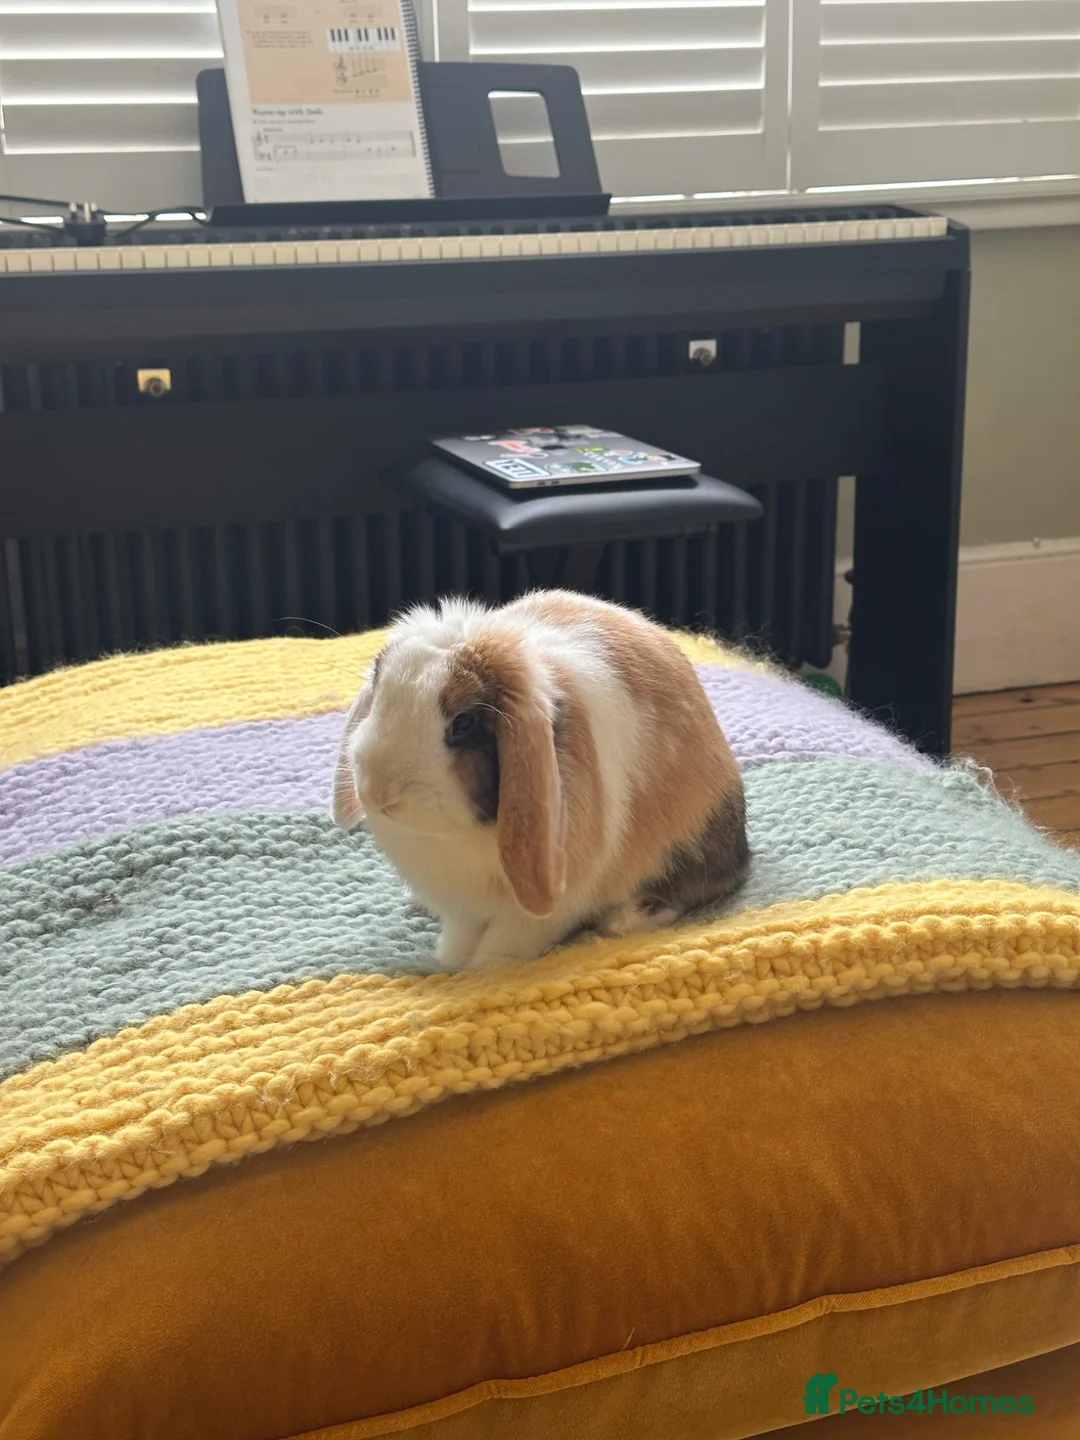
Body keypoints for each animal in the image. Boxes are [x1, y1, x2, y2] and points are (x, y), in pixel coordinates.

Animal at [331, 590, 749, 970]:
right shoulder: (462, 905)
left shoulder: (553, 903)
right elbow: (460, 935)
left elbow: (511, 939)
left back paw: (633, 917)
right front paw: (450, 962)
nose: (377, 792)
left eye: (463, 723)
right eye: (379, 692)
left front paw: (485, 970)